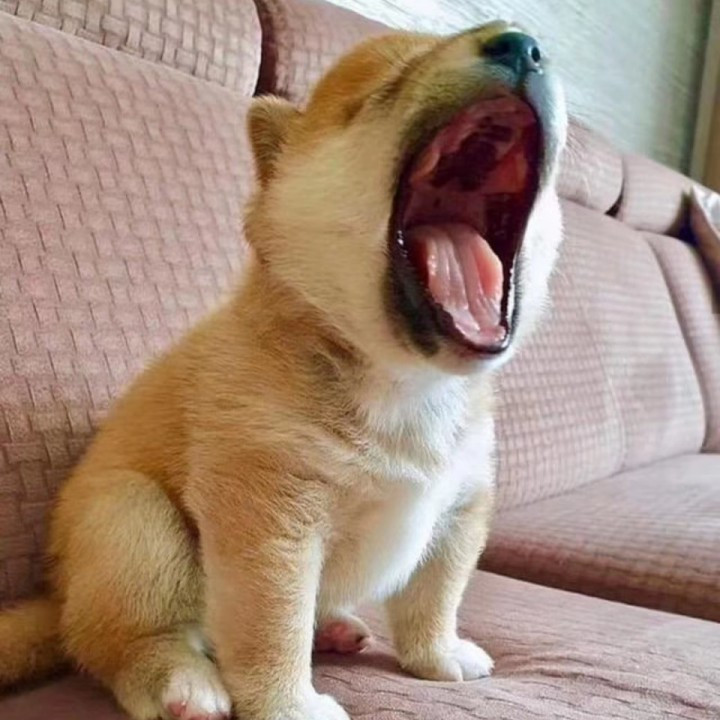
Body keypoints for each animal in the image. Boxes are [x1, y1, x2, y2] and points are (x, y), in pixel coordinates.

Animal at [0, 22, 566, 720]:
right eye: (387, 82)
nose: (522, 44)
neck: (405, 382)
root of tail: (55, 600)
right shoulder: (272, 522)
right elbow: (272, 627)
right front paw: (289, 704)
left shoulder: (460, 510)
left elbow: (435, 596)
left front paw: (437, 655)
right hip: (133, 521)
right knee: (113, 643)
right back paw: (179, 681)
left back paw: (337, 627)